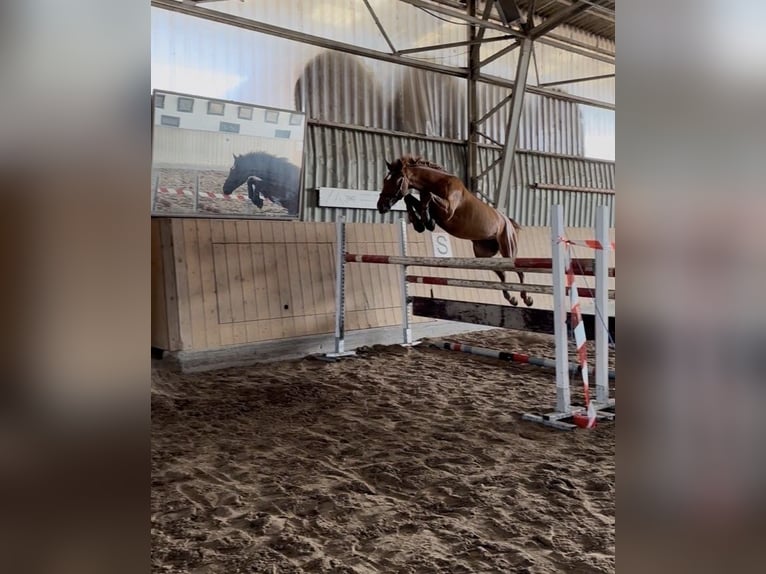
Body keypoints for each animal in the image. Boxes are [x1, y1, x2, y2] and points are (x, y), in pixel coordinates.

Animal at [377, 155, 533, 307]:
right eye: (385, 180)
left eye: (398, 180)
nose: (381, 206)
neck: (439, 182)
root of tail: (507, 221)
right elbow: (411, 198)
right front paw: (420, 224)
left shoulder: (447, 210)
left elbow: (428, 196)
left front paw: (426, 221)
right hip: (483, 254)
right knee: (502, 273)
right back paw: (511, 298)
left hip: (508, 249)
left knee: (520, 272)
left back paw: (527, 298)